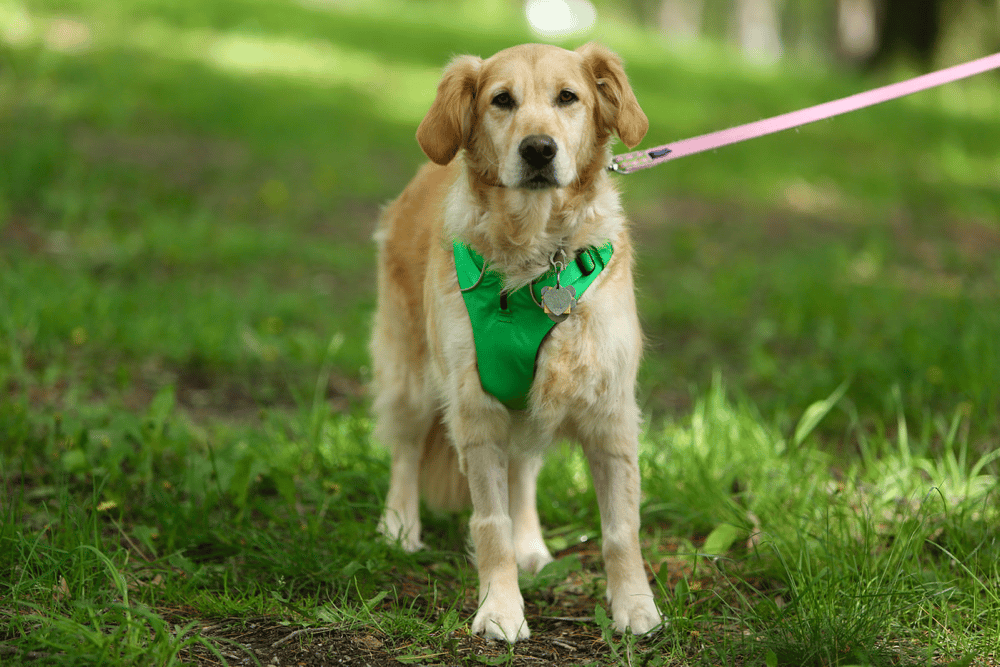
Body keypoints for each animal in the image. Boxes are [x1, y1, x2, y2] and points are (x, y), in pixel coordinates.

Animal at [372, 41, 660, 640]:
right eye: (501, 100)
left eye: (568, 97)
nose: (538, 150)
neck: (536, 255)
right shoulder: (476, 408)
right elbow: (490, 521)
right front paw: (501, 609)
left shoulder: (610, 411)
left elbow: (621, 528)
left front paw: (635, 605)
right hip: (411, 374)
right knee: (406, 449)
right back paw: (400, 525)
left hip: (530, 398)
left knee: (522, 469)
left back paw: (532, 546)